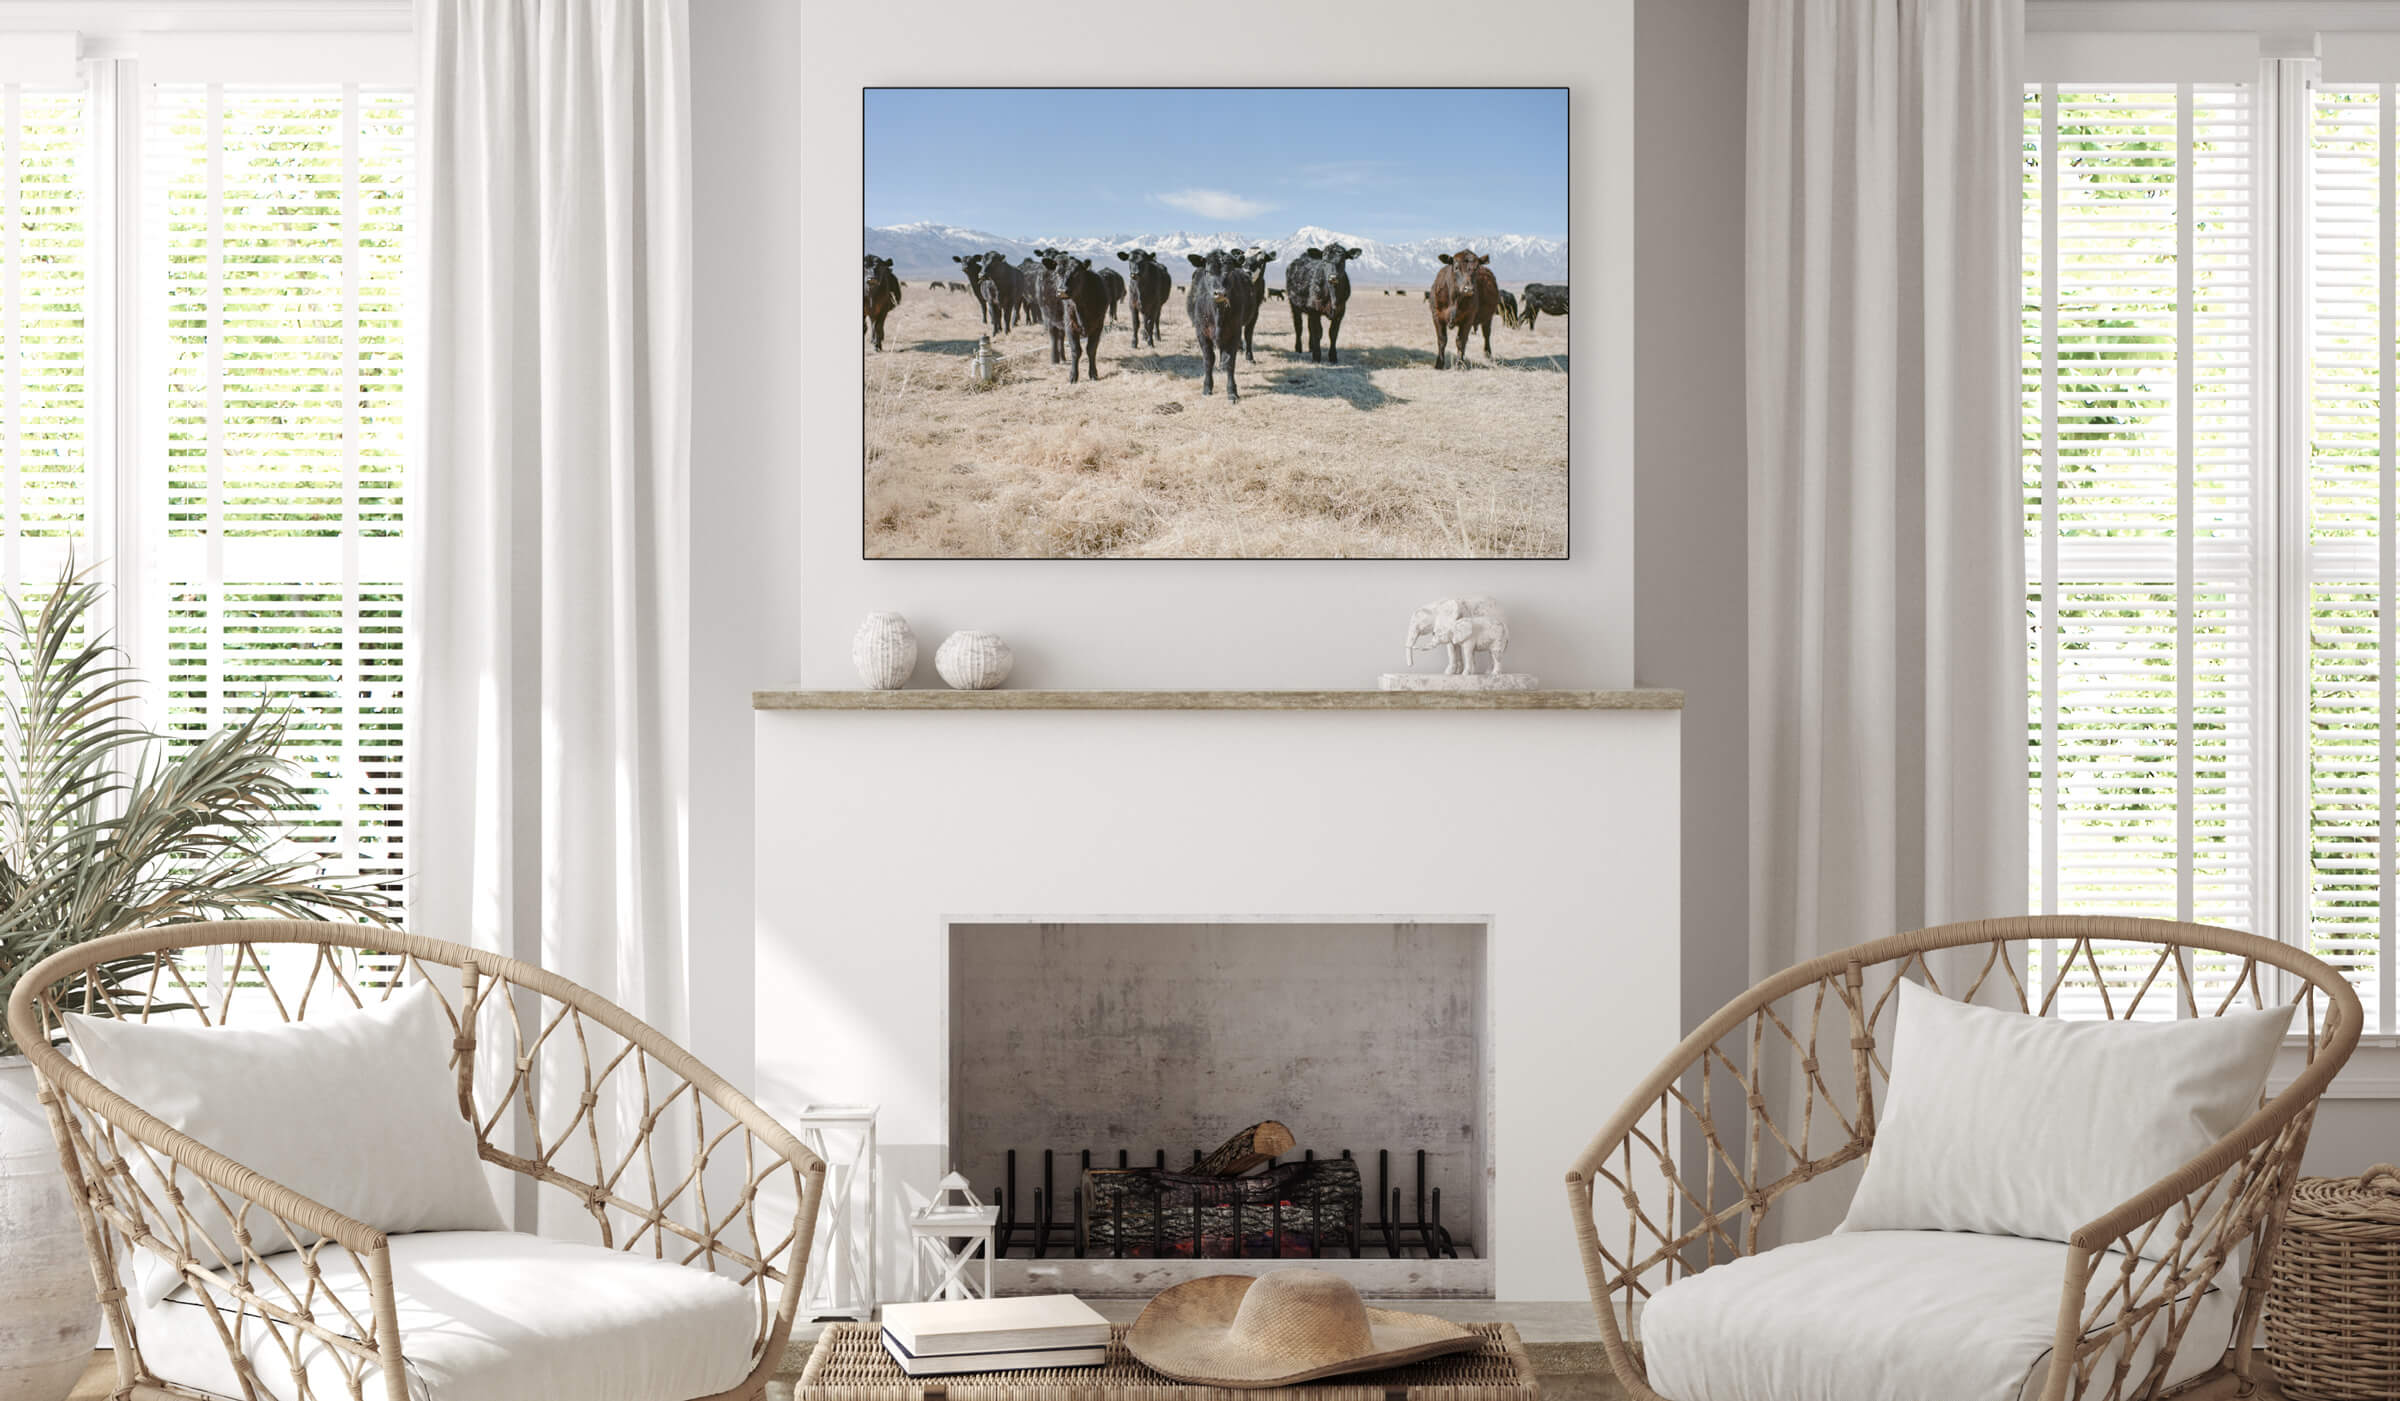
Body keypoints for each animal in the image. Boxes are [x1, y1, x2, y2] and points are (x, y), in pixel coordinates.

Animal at [1046, 254, 1108, 386]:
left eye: (1076, 273)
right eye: (1057, 272)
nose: (1062, 291)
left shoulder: (1098, 326)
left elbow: (1091, 349)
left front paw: (1093, 373)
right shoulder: (1070, 326)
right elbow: (1076, 350)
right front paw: (1073, 376)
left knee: (1060, 337)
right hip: (1049, 319)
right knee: (1054, 337)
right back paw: (1055, 359)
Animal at [1185, 250, 1257, 400]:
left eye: (1229, 272)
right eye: (1208, 271)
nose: (1220, 293)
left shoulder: (1235, 332)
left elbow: (1230, 361)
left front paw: (1232, 391)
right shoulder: (1201, 332)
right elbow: (1208, 359)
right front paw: (1207, 388)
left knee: (1247, 336)